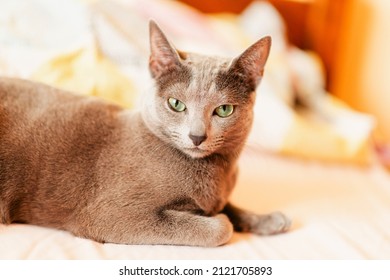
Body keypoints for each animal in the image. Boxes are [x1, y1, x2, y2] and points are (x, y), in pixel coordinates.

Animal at [0, 20, 290, 246]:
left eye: (224, 110)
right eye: (176, 104)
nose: (197, 136)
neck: (218, 172)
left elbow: (231, 206)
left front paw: (268, 219)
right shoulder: (110, 214)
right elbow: (220, 227)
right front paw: (213, 217)